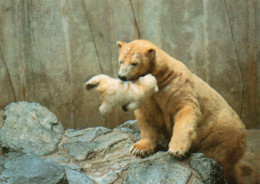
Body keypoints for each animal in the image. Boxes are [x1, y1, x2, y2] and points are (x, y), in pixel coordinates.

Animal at [117, 39, 247, 183]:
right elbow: (146, 117)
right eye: (121, 61)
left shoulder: (177, 86)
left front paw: (176, 149)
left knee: (224, 161)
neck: (160, 76)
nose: (122, 76)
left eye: (134, 63)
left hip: (222, 136)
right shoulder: (147, 96)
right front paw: (139, 149)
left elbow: (186, 110)